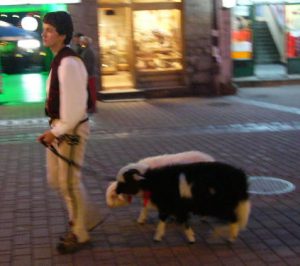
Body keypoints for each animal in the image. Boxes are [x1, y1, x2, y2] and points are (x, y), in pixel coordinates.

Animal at [113, 160, 250, 243]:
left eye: (125, 181)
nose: (116, 190)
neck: (154, 181)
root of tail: (240, 176)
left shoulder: (173, 206)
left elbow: (169, 219)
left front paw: (158, 237)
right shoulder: (173, 207)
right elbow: (176, 220)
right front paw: (190, 237)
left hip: (222, 204)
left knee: (234, 218)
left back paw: (231, 237)